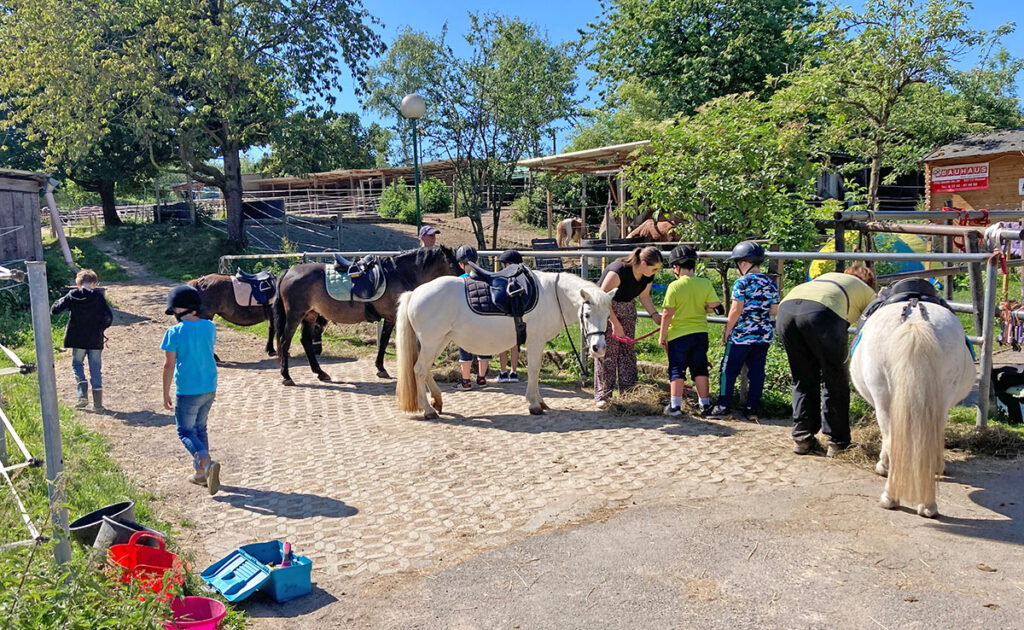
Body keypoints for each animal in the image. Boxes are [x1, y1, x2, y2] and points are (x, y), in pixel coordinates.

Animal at [276, 244, 460, 385]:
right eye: (452, 265)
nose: (462, 279)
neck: (399, 274)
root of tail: (289, 272)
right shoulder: (392, 317)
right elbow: (384, 341)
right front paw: (381, 368)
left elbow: (385, 341)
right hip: (295, 315)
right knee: (285, 341)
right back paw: (287, 376)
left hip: (310, 314)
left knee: (305, 341)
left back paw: (320, 372)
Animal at [395, 272, 610, 415]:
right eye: (587, 314)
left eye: (608, 316)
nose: (598, 348)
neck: (552, 295)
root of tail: (414, 293)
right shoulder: (535, 341)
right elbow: (534, 370)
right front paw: (534, 404)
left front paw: (539, 401)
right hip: (432, 341)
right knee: (419, 370)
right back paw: (427, 409)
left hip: (440, 340)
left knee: (425, 370)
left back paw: (437, 401)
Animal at [847, 303, 974, 520]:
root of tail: (915, 319)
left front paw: (883, 466)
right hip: (940, 399)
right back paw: (927, 504)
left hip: (883, 398)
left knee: (893, 441)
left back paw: (890, 497)